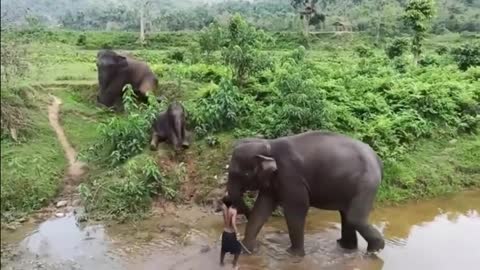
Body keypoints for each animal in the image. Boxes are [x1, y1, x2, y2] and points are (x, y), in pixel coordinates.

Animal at [225, 131, 386, 258]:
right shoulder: (273, 180)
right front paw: (246, 251)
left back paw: (374, 251)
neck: (268, 144)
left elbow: (296, 208)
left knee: (354, 217)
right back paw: (345, 247)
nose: (226, 202)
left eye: (242, 174)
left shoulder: (291, 176)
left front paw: (293, 255)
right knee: (347, 215)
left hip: (366, 183)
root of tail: (378, 159)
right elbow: (262, 207)